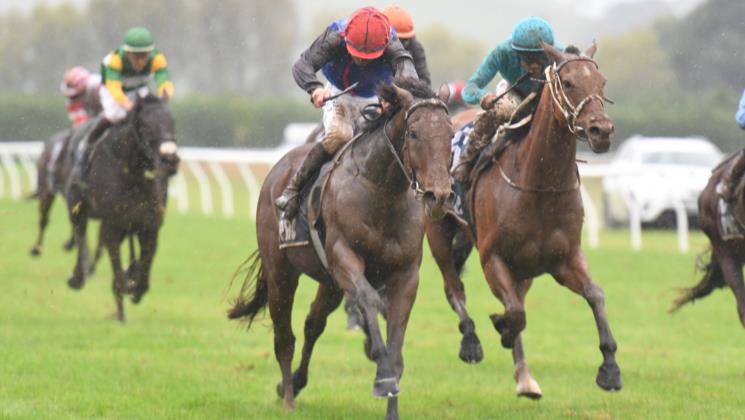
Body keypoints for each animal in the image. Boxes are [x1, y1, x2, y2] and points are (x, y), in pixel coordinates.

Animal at [64, 94, 177, 323]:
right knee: (80, 235)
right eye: (146, 125)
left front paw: (134, 283)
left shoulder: (149, 227)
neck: (133, 173)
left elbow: (143, 278)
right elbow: (118, 276)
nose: (170, 160)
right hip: (77, 204)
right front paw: (124, 292)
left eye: (173, 122)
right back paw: (79, 276)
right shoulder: (112, 226)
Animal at [229, 77, 453, 420]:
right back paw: (288, 397)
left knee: (313, 324)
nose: (438, 196)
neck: (382, 191)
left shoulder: (406, 274)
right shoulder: (345, 257)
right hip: (282, 272)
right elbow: (369, 300)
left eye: (451, 134)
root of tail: (277, 170)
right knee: (284, 336)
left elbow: (396, 339)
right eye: (414, 133)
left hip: (330, 283)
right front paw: (382, 376)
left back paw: (294, 383)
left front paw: (392, 402)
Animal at [425, 42, 622, 398]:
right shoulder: (493, 258)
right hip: (439, 233)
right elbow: (514, 313)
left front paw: (610, 368)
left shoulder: (564, 259)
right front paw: (499, 327)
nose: (601, 130)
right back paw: (471, 341)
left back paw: (525, 377)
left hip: (523, 269)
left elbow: (595, 294)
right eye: (568, 82)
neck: (540, 185)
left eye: (601, 82)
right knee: (454, 288)